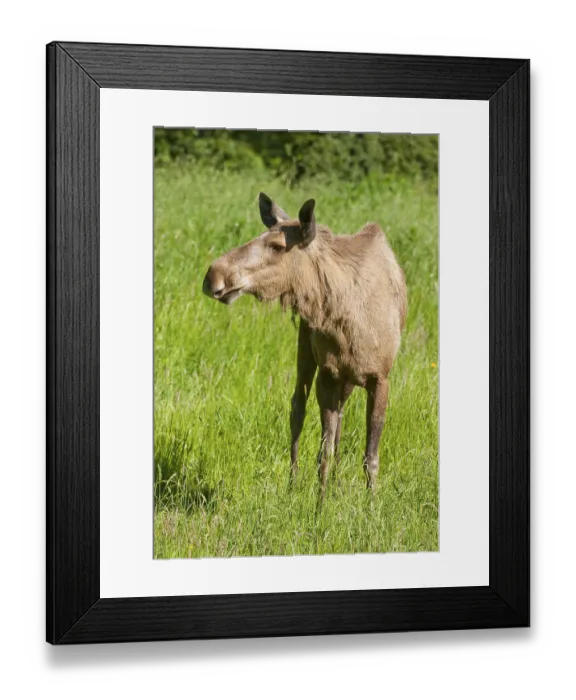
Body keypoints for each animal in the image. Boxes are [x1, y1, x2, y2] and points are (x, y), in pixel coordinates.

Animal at [203, 193, 407, 495]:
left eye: (277, 246)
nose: (213, 276)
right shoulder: (328, 374)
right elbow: (323, 452)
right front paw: (319, 503)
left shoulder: (380, 378)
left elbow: (370, 457)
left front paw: (370, 503)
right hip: (306, 353)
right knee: (297, 409)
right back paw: (293, 483)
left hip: (344, 379)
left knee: (339, 420)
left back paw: (335, 482)